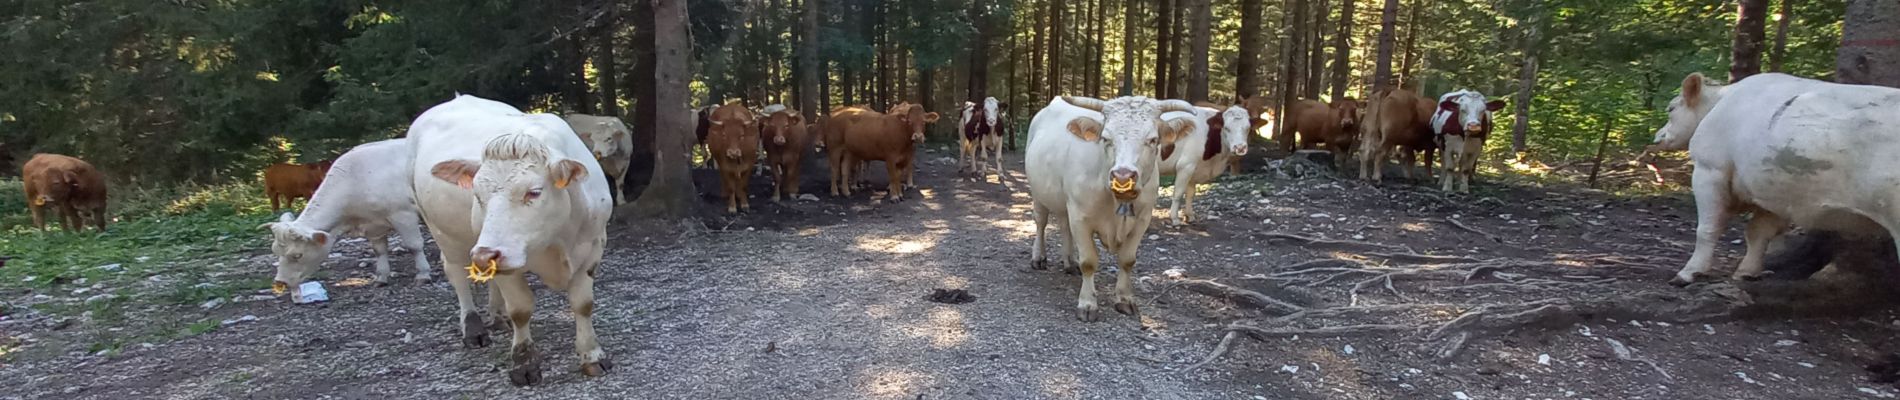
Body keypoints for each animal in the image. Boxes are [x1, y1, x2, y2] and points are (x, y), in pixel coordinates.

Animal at [260, 139, 431, 297]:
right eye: (275, 251)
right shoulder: (375, 225)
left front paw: (423, 274)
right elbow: (379, 251)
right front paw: (381, 277)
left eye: (297, 255)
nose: (280, 282)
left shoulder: (404, 215)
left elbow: (414, 245)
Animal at [410, 93, 611, 384]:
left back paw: (497, 315)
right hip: (443, 232)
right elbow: (521, 309)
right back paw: (473, 328)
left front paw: (592, 356)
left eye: (534, 192)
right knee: (456, 273)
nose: (484, 255)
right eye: (477, 194)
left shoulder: (593, 247)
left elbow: (583, 304)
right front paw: (524, 364)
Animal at [1033, 94, 1193, 322]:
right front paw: (1087, 304)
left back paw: (1069, 262)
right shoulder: (1080, 216)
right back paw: (1038, 257)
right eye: (1106, 138)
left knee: (1064, 227)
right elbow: (1089, 261)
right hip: (1038, 193)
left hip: (1065, 203)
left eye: (1153, 140)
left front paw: (1125, 299)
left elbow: (1127, 260)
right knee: (1041, 222)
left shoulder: (1143, 219)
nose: (1123, 176)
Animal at [1649, 72, 1900, 284]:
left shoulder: (1710, 170)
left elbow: (1708, 228)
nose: (1657, 137)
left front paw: (1689, 273)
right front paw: (1747, 272)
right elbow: (1758, 232)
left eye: (1671, 109)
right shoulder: (1772, 191)